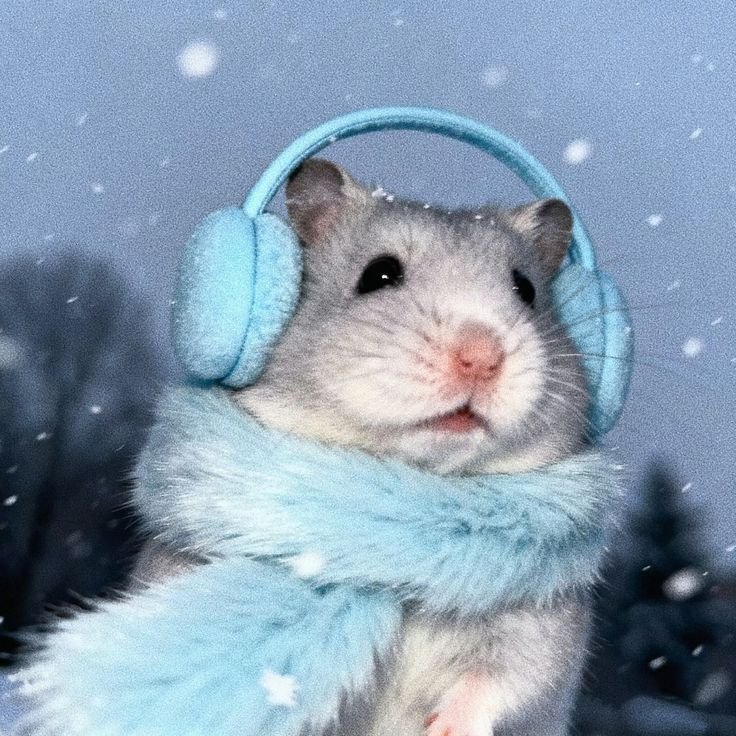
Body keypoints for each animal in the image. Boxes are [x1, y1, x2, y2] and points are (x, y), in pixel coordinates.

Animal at [137, 159, 593, 735]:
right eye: (378, 275)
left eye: (526, 290)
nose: (481, 356)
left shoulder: (543, 620)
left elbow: (502, 680)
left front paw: (443, 729)